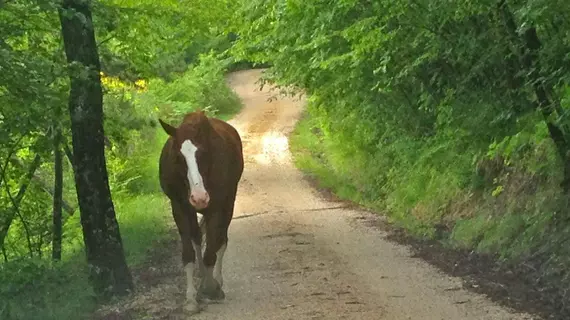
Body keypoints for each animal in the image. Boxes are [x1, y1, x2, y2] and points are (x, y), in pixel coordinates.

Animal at [158, 109, 242, 312]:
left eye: (203, 153)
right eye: (179, 157)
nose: (199, 198)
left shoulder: (217, 208)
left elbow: (211, 251)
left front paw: (211, 288)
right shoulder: (179, 207)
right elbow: (189, 253)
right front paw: (190, 299)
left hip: (228, 203)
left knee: (221, 240)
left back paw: (215, 281)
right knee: (197, 237)